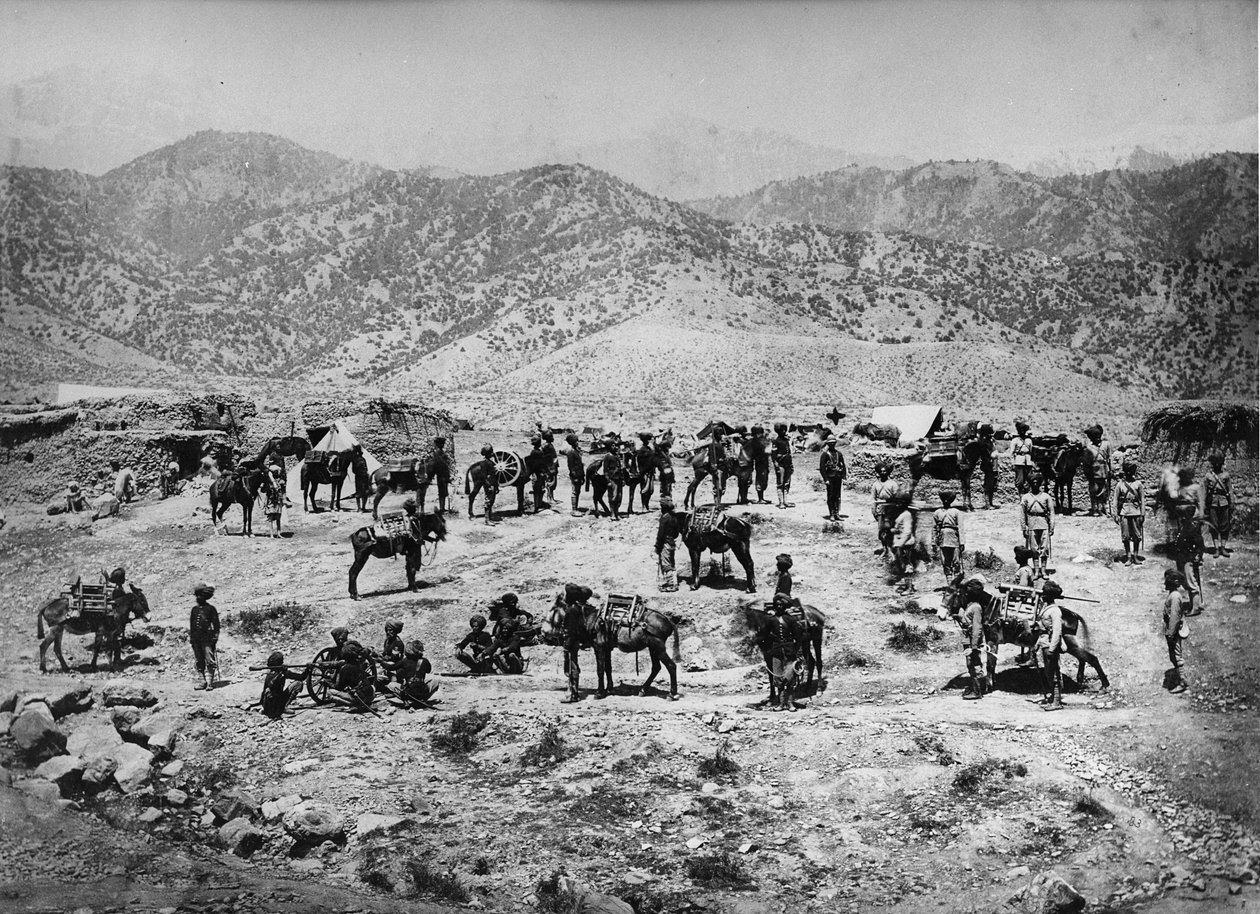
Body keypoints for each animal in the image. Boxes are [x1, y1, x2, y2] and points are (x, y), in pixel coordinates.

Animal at [539, 592, 680, 700]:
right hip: (652, 648)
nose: (542, 632)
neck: (589, 620)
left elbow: (600, 670)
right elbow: (608, 668)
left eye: (553, 610)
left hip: (658, 647)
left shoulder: (599, 648)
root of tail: (668, 621)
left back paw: (672, 694)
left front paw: (599, 692)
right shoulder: (607, 648)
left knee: (671, 666)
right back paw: (643, 690)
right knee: (656, 668)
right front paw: (609, 689)